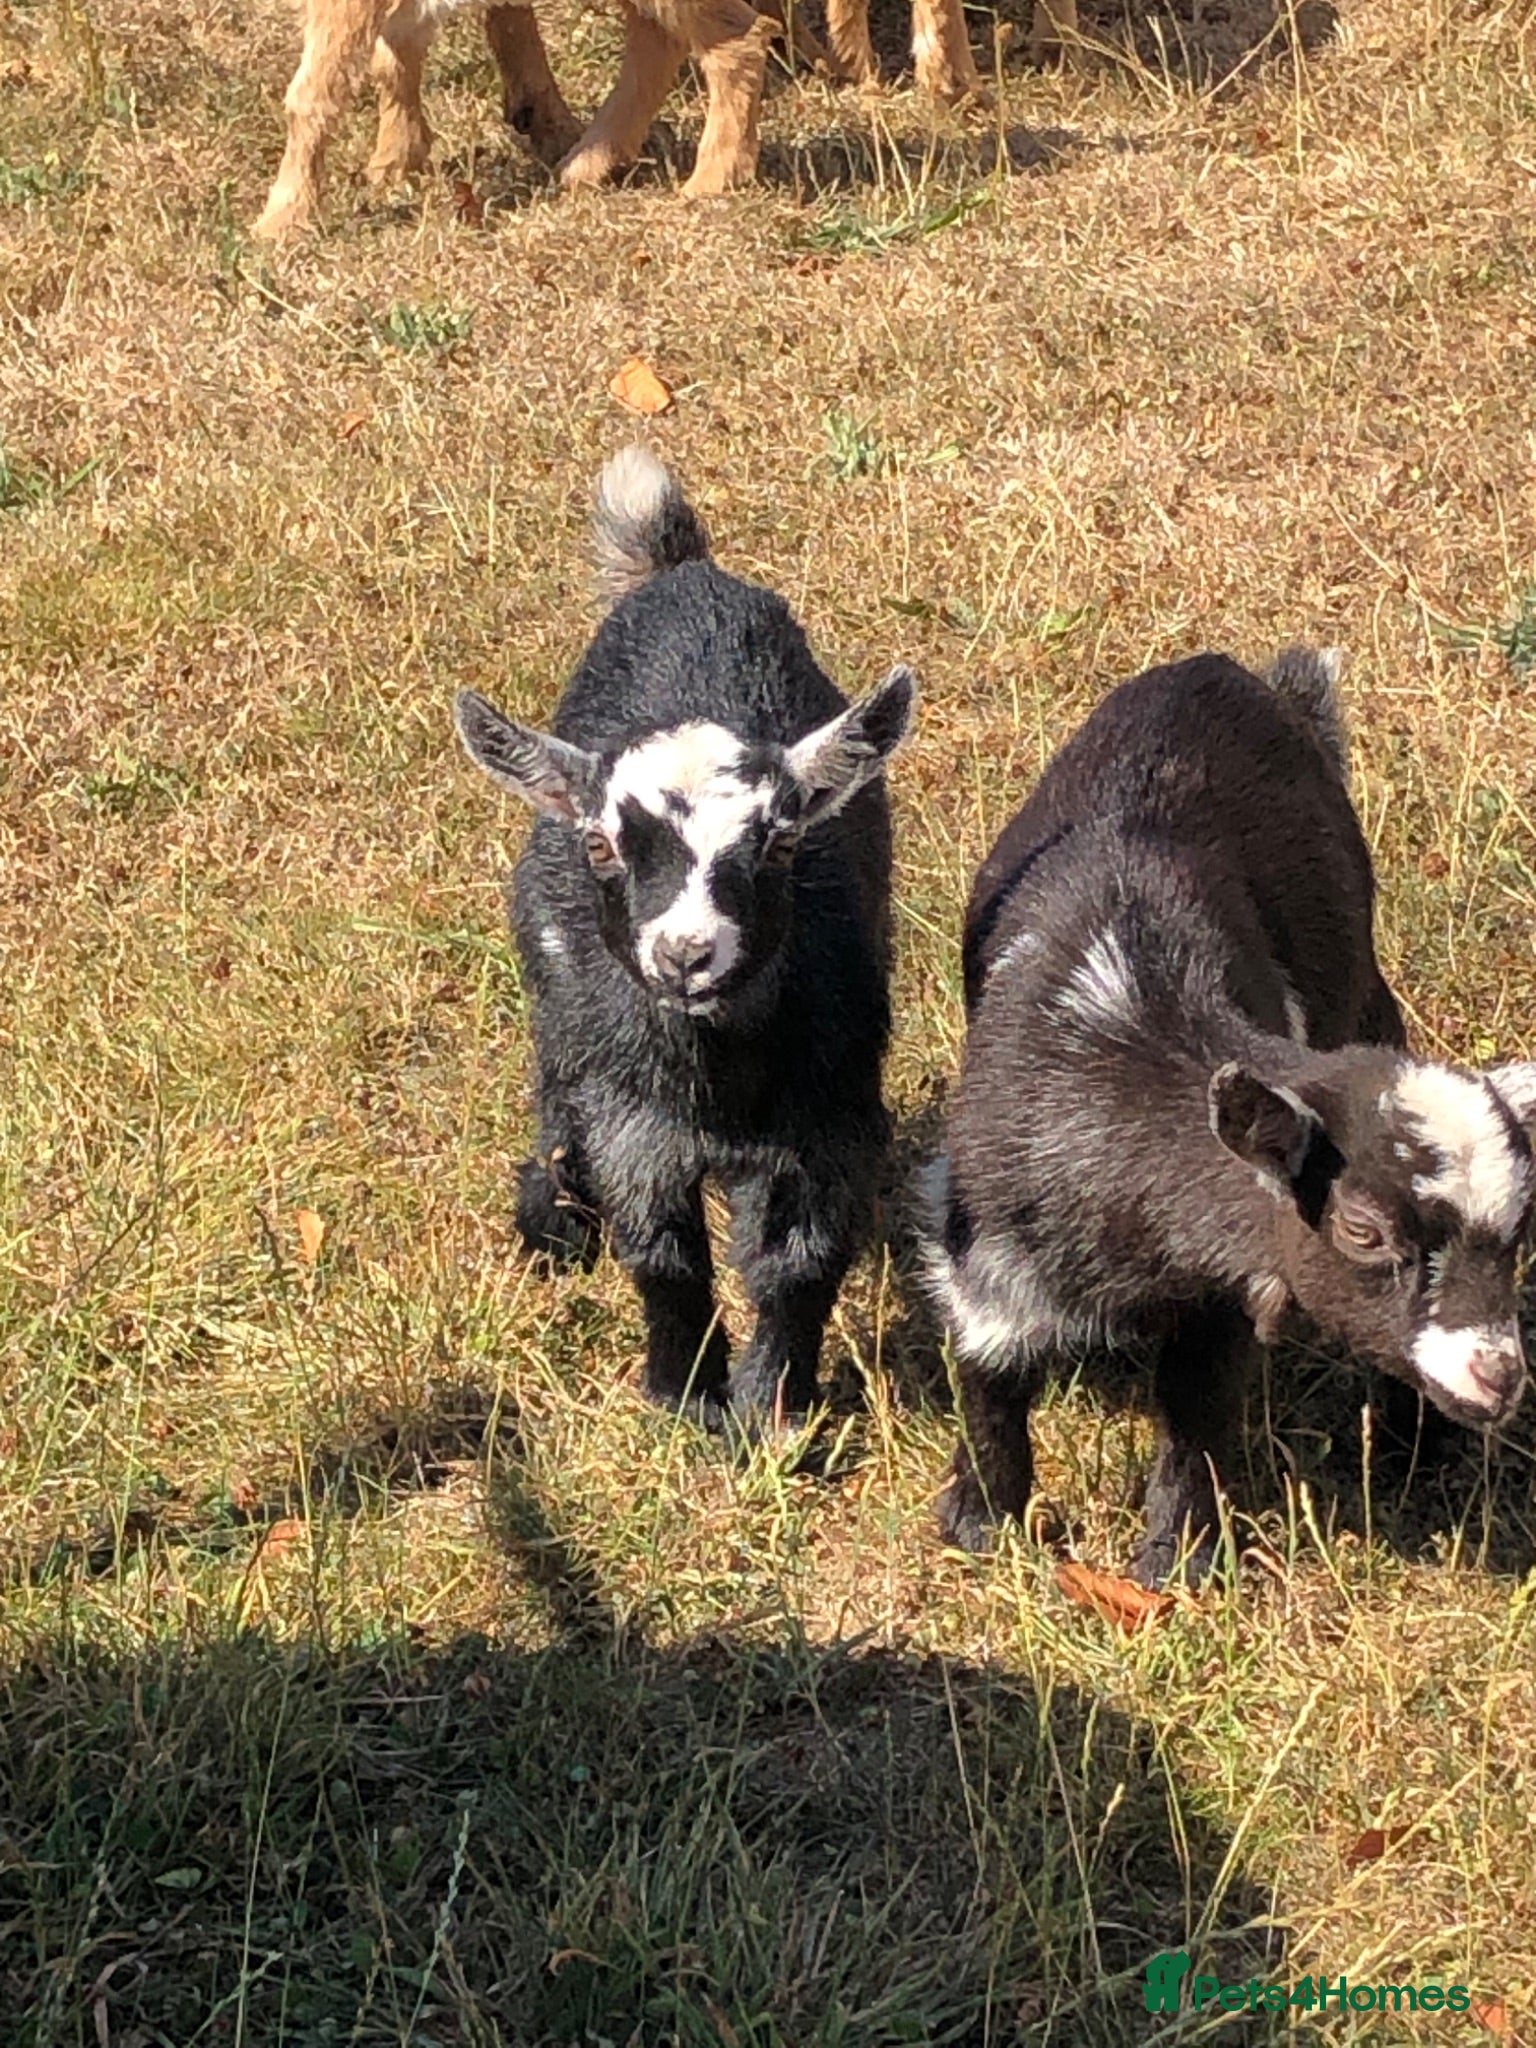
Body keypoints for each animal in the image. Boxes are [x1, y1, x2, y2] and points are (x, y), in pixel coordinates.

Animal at [254, 0, 772, 237]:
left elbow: (315, 89)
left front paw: (281, 220)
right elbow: (396, 51)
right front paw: (395, 161)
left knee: (737, 36)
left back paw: (710, 181)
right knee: (657, 38)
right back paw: (586, 163)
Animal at [454, 449, 915, 1422]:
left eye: (781, 840)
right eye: (601, 843)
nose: (686, 954)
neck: (720, 1092)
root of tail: (682, 575)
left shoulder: (829, 1116)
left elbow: (798, 1260)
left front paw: (775, 1411)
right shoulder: (635, 1118)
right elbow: (662, 1252)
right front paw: (684, 1396)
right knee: (556, 1077)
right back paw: (553, 1216)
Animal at [924, 647, 1536, 1586]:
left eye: (1520, 1228)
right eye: (1362, 1229)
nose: (1498, 1374)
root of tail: (1232, 675)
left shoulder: (1226, 1284)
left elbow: (1199, 1412)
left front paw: (1178, 1560)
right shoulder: (980, 1237)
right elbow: (989, 1373)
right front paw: (982, 1521)